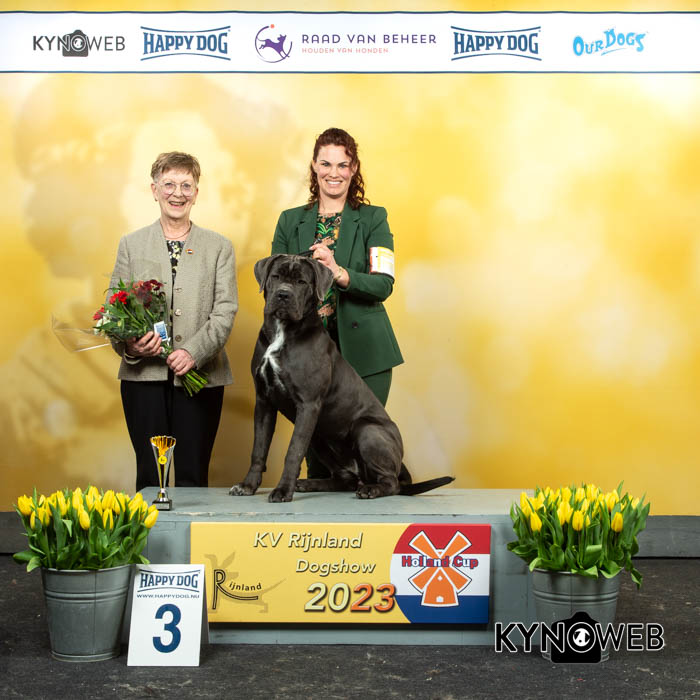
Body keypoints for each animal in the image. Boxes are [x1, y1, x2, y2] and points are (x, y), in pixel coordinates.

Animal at [229, 254, 454, 503]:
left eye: (301, 282)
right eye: (276, 276)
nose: (283, 295)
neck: (282, 330)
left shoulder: (308, 404)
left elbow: (293, 450)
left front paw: (282, 490)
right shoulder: (264, 401)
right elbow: (258, 449)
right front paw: (247, 485)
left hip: (367, 430)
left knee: (391, 482)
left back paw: (370, 489)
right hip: (319, 438)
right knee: (345, 479)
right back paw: (309, 484)